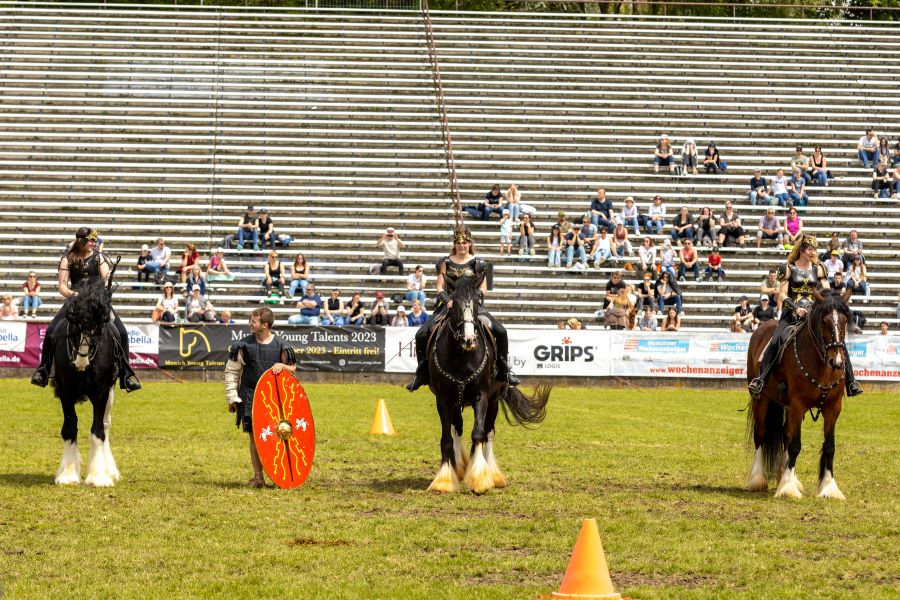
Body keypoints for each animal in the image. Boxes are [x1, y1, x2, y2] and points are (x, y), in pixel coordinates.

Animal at [51, 276, 122, 487]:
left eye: (99, 327)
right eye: (75, 327)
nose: (81, 362)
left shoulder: (101, 392)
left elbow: (97, 430)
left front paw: (98, 476)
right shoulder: (65, 391)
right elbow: (69, 428)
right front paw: (67, 474)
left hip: (110, 394)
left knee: (106, 425)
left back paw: (110, 470)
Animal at [426, 274, 550, 494]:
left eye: (477, 303)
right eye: (454, 305)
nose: (469, 339)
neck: (462, 356)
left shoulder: (481, 396)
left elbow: (478, 434)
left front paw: (479, 480)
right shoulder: (443, 399)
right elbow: (447, 439)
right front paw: (443, 481)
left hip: (493, 402)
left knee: (488, 433)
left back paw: (492, 474)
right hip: (457, 402)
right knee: (458, 429)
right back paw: (461, 468)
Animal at [745, 288, 852, 499]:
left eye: (845, 320)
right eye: (824, 321)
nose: (837, 361)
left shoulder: (833, 408)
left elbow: (829, 447)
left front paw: (829, 487)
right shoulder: (798, 404)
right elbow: (795, 445)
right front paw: (788, 488)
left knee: (785, 435)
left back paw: (784, 477)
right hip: (761, 399)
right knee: (760, 434)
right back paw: (758, 480)